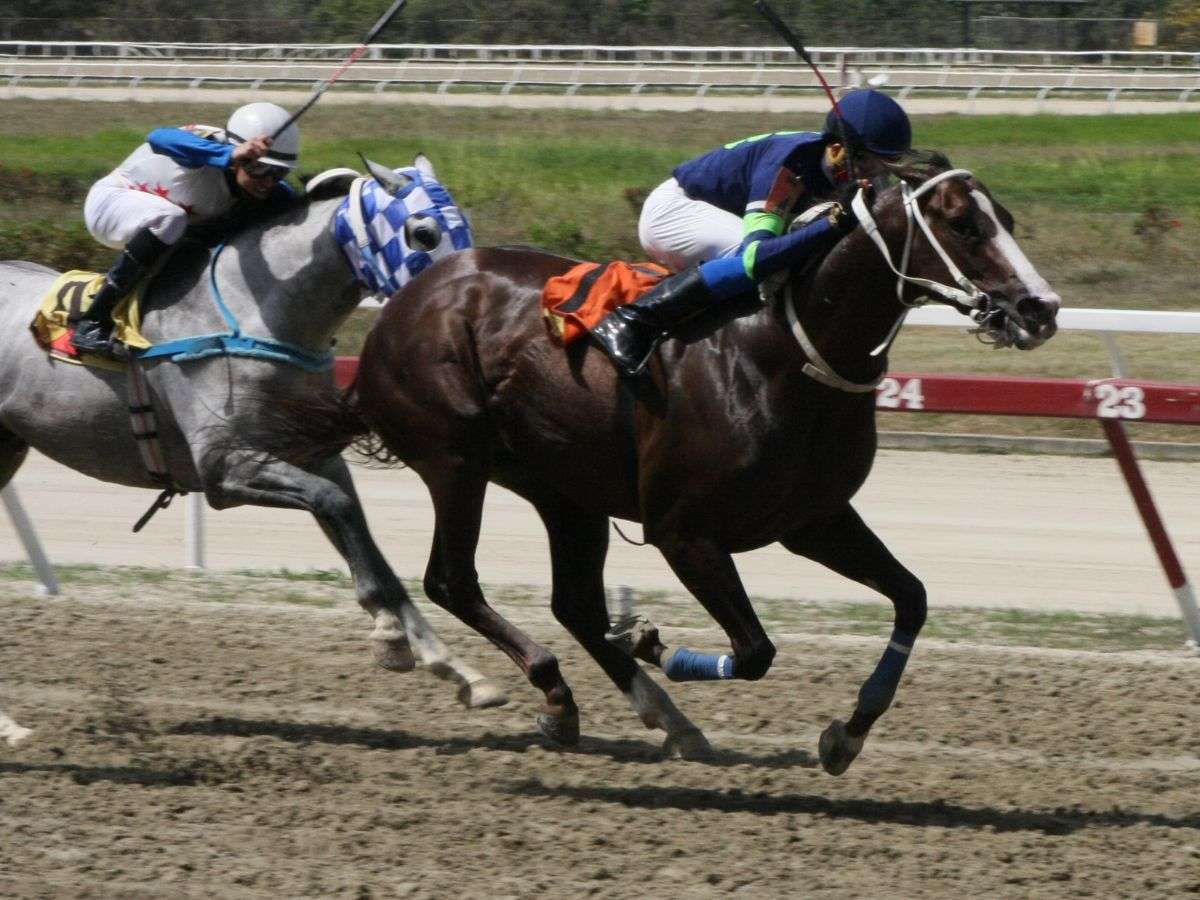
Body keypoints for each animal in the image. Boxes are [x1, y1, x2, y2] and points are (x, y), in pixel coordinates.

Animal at [0, 158, 506, 744]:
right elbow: (336, 507)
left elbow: (363, 539)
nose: (471, 300)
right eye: (423, 233)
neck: (255, 315)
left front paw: (456, 668)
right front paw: (390, 636)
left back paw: (9, 726)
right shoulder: (227, 468)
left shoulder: (313, 455)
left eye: (465, 227)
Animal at [314, 160, 1056, 777]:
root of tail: (407, 302)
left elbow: (912, 598)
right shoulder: (684, 532)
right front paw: (650, 641)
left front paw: (846, 735)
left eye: (1008, 219)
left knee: (574, 603)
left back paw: (647, 717)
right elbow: (755, 651)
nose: (1039, 308)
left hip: (564, 489)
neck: (785, 354)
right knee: (452, 580)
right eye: (963, 223)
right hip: (455, 461)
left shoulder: (813, 519)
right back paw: (554, 688)